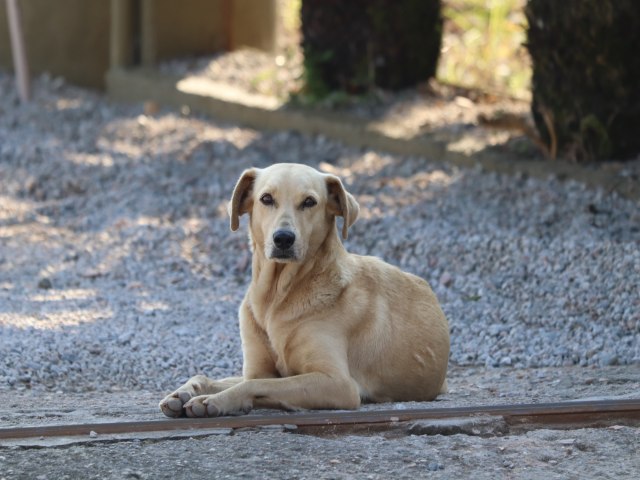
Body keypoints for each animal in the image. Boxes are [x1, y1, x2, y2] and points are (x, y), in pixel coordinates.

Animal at [160, 163, 450, 418]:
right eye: (266, 198)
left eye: (309, 202)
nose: (283, 238)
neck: (277, 297)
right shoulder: (258, 369)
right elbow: (214, 376)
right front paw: (184, 392)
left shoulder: (338, 384)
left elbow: (256, 385)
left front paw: (216, 401)